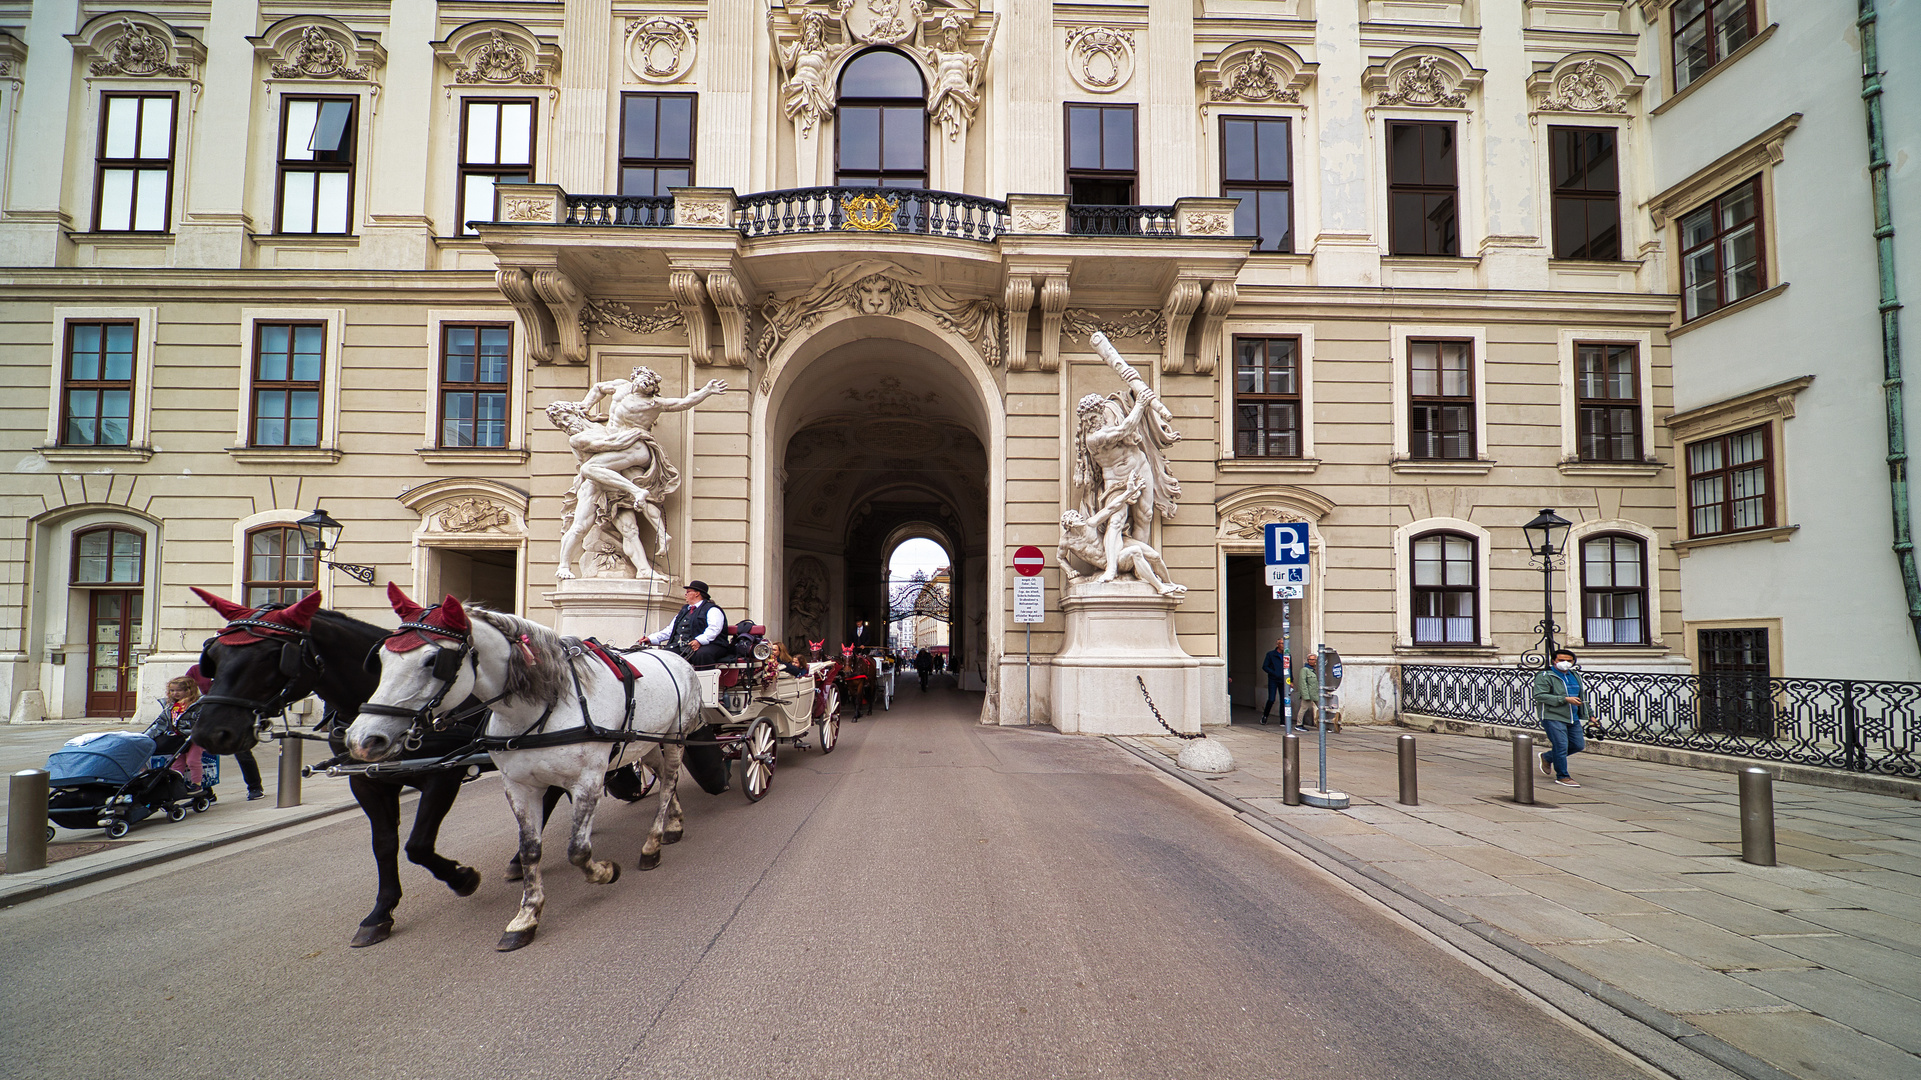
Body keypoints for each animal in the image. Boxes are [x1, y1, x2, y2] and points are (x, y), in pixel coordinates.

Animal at [190, 588, 510, 941]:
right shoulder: (365, 781)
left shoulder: (444, 774)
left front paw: (462, 877)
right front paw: (381, 912)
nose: (209, 732)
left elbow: (418, 844)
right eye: (213, 655)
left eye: (270, 656)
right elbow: (384, 844)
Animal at [341, 584, 722, 945]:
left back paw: (652, 844)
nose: (362, 739)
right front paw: (526, 916)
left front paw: (604, 872)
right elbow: (529, 849)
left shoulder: (587, 780)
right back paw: (673, 824)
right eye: (381, 657)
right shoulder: (518, 785)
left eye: (433, 660)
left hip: (675, 738)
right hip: (647, 740)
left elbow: (578, 850)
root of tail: (676, 656)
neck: (543, 705)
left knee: (669, 782)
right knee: (664, 779)